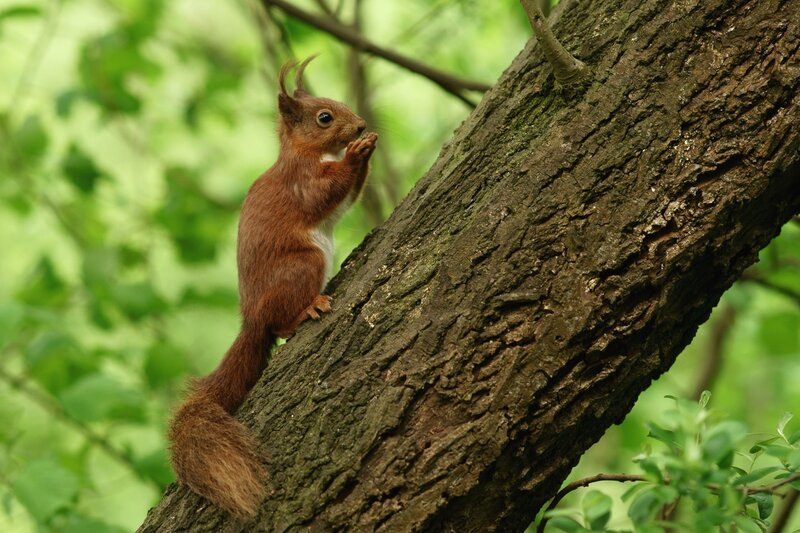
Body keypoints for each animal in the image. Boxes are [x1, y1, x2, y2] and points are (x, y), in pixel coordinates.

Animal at [168, 56, 378, 517]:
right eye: (324, 117)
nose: (359, 125)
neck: (309, 151)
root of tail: (252, 319)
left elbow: (350, 196)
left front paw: (367, 146)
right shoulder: (303, 180)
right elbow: (325, 193)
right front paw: (357, 153)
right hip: (302, 267)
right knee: (280, 325)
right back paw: (306, 311)